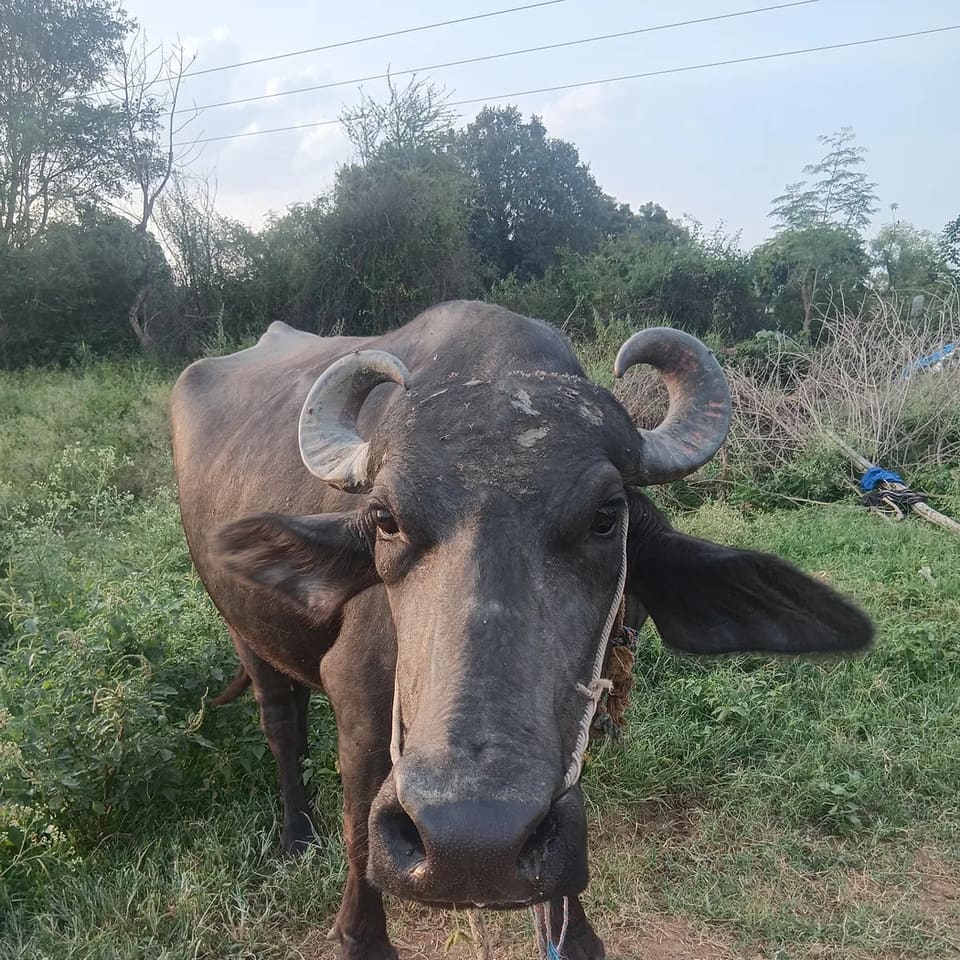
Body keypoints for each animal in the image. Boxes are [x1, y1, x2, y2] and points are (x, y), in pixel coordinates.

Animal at [170, 301, 872, 960]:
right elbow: (358, 815)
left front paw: (576, 933)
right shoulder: (361, 704)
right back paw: (295, 834)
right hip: (243, 631)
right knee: (282, 724)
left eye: (605, 517)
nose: (472, 844)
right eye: (386, 520)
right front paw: (357, 935)